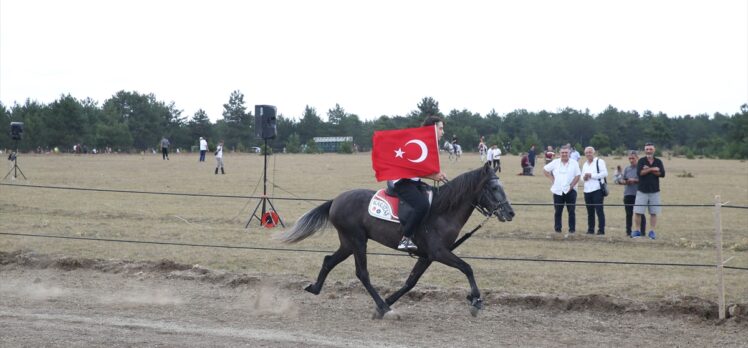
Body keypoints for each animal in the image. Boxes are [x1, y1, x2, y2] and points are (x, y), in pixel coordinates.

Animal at [280, 162, 516, 318]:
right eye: (494, 188)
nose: (510, 213)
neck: (442, 211)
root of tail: (336, 200)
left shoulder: (427, 256)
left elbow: (411, 282)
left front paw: (387, 301)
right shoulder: (439, 252)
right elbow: (467, 268)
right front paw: (476, 300)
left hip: (348, 242)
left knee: (329, 260)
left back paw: (315, 287)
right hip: (357, 240)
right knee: (362, 273)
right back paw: (384, 309)